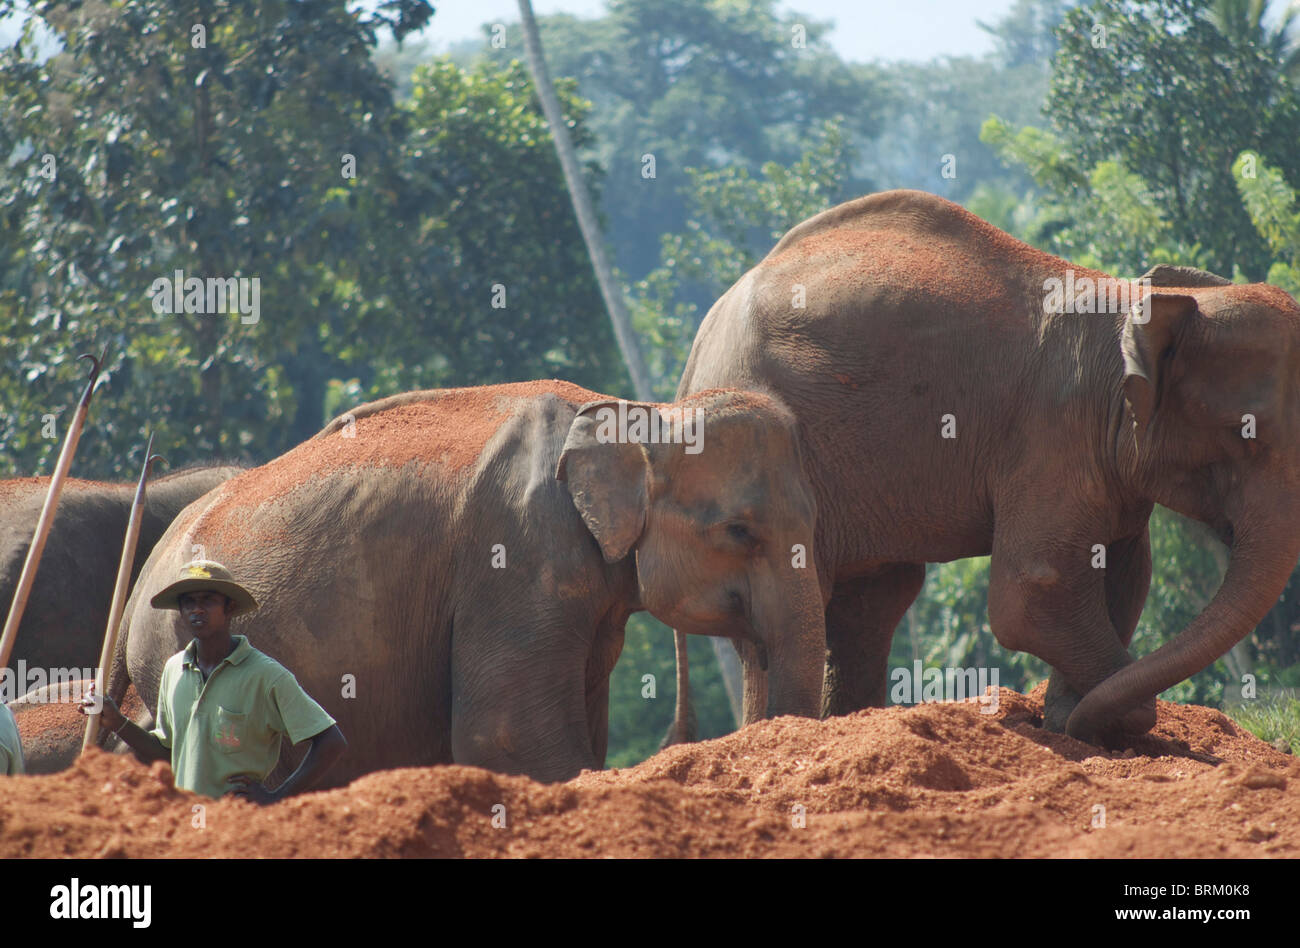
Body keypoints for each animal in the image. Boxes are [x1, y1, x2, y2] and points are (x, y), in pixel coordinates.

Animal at [670, 188, 1300, 743]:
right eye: (1243, 434)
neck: (1131, 305)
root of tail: (697, 347)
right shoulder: (1053, 431)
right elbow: (1034, 590)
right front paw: (1105, 719)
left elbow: (1125, 573)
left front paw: (1076, 722)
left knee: (873, 600)